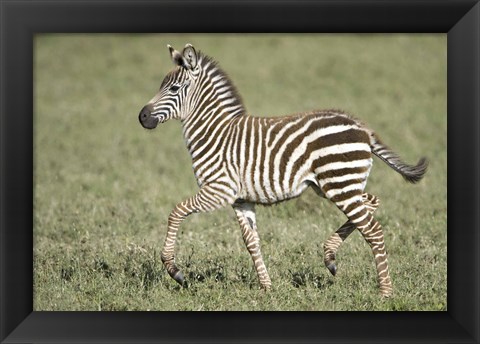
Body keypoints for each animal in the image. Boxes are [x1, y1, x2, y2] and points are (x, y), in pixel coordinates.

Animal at [138, 42, 428, 296]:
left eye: (175, 88)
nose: (142, 117)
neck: (214, 132)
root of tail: (361, 127)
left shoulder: (219, 190)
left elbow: (176, 212)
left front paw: (173, 269)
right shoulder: (241, 199)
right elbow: (251, 242)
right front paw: (266, 287)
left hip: (339, 183)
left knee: (373, 230)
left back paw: (385, 292)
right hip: (336, 184)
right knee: (371, 203)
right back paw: (330, 256)